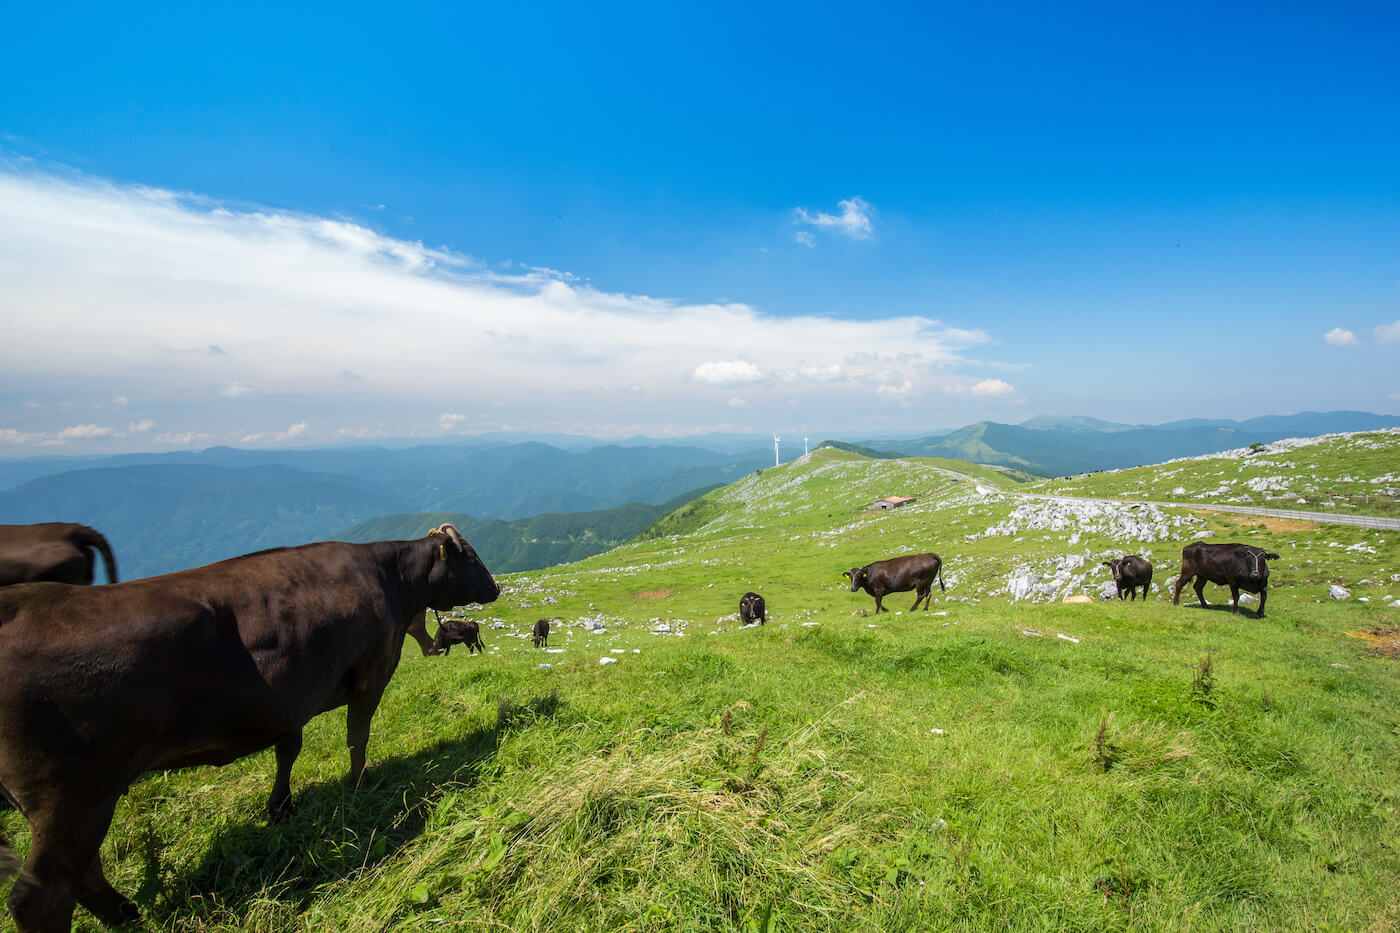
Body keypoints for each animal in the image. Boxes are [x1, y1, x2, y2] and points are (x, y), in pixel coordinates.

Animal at [0, 523, 498, 930]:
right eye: (472, 557)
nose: (494, 587)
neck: (391, 579)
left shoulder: (288, 699)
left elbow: (288, 750)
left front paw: (280, 806)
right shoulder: (371, 673)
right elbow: (358, 737)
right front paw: (359, 783)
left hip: (75, 801)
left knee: (81, 872)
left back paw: (124, 912)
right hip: (71, 794)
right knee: (40, 897)